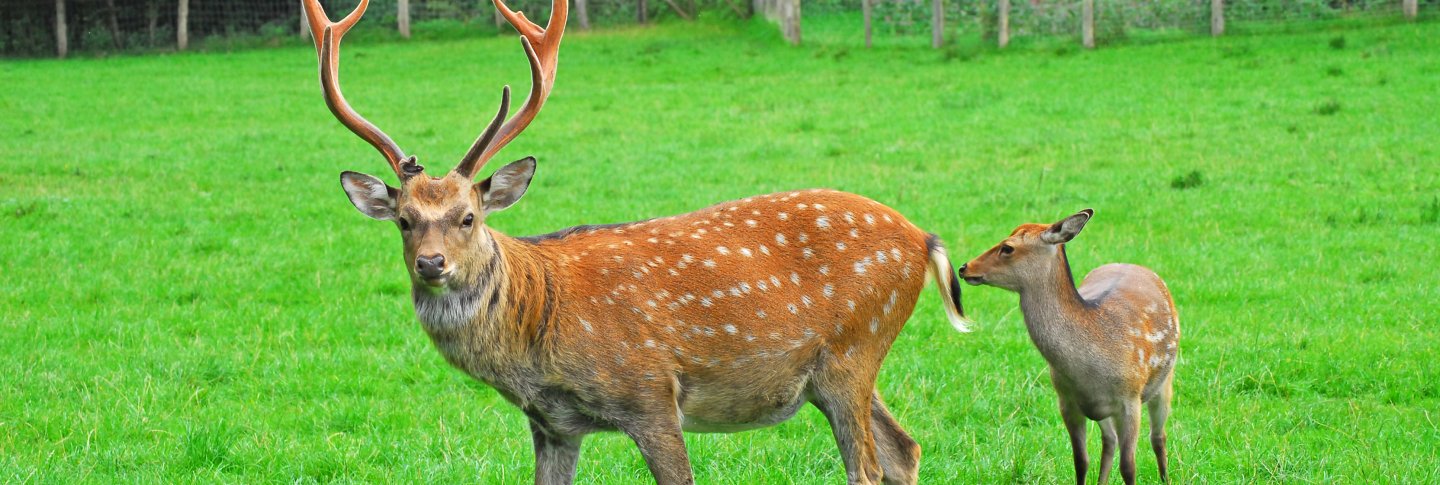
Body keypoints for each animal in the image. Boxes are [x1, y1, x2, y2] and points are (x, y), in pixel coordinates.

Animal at [299, 0, 973, 483]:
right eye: (404, 220)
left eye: (469, 217)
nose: (432, 263)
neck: (539, 328)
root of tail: (923, 238)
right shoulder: (553, 425)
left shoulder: (651, 395)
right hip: (844, 367)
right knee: (904, 449)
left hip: (855, 348)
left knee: (869, 467)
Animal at [956, 210, 1180, 483]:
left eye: (1007, 247)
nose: (964, 267)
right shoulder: (1067, 401)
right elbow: (1081, 461)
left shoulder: (1130, 399)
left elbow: (1129, 466)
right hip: (1100, 409)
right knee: (1109, 440)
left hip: (1165, 379)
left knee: (1158, 437)